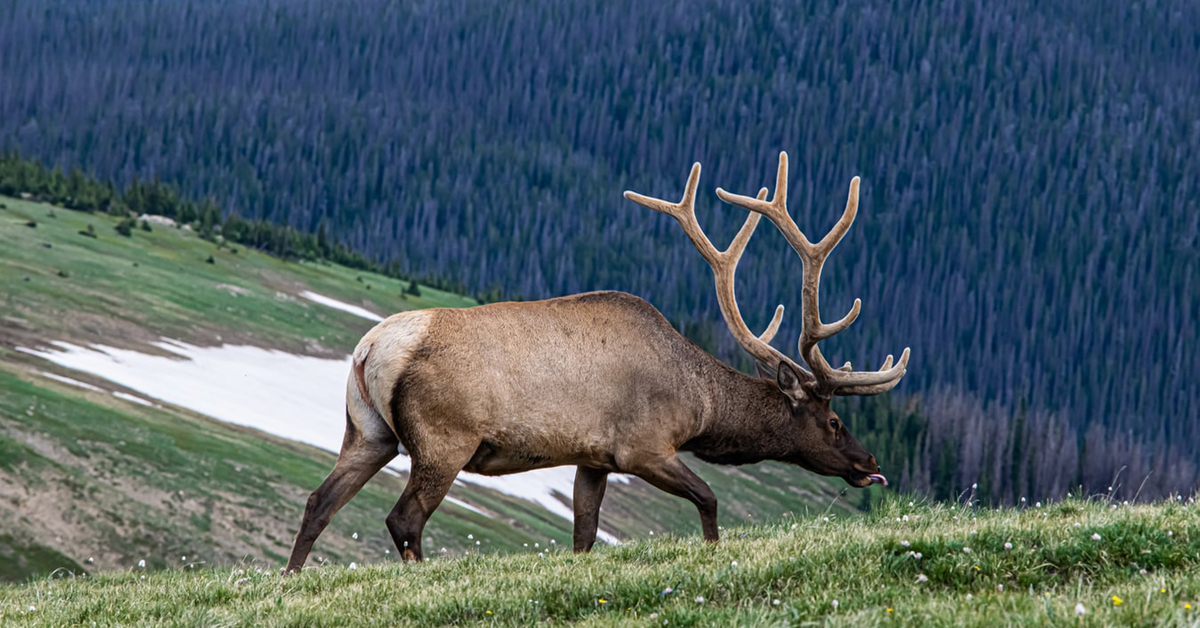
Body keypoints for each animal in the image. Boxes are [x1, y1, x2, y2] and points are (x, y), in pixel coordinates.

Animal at [285, 152, 909, 573]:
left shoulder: (593, 457)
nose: (869, 461)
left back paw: (290, 579)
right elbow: (709, 499)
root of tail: (370, 349)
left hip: (367, 430)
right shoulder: (644, 446)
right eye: (833, 420)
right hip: (443, 438)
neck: (700, 405)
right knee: (403, 519)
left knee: (318, 502)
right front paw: (714, 551)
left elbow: (584, 534)